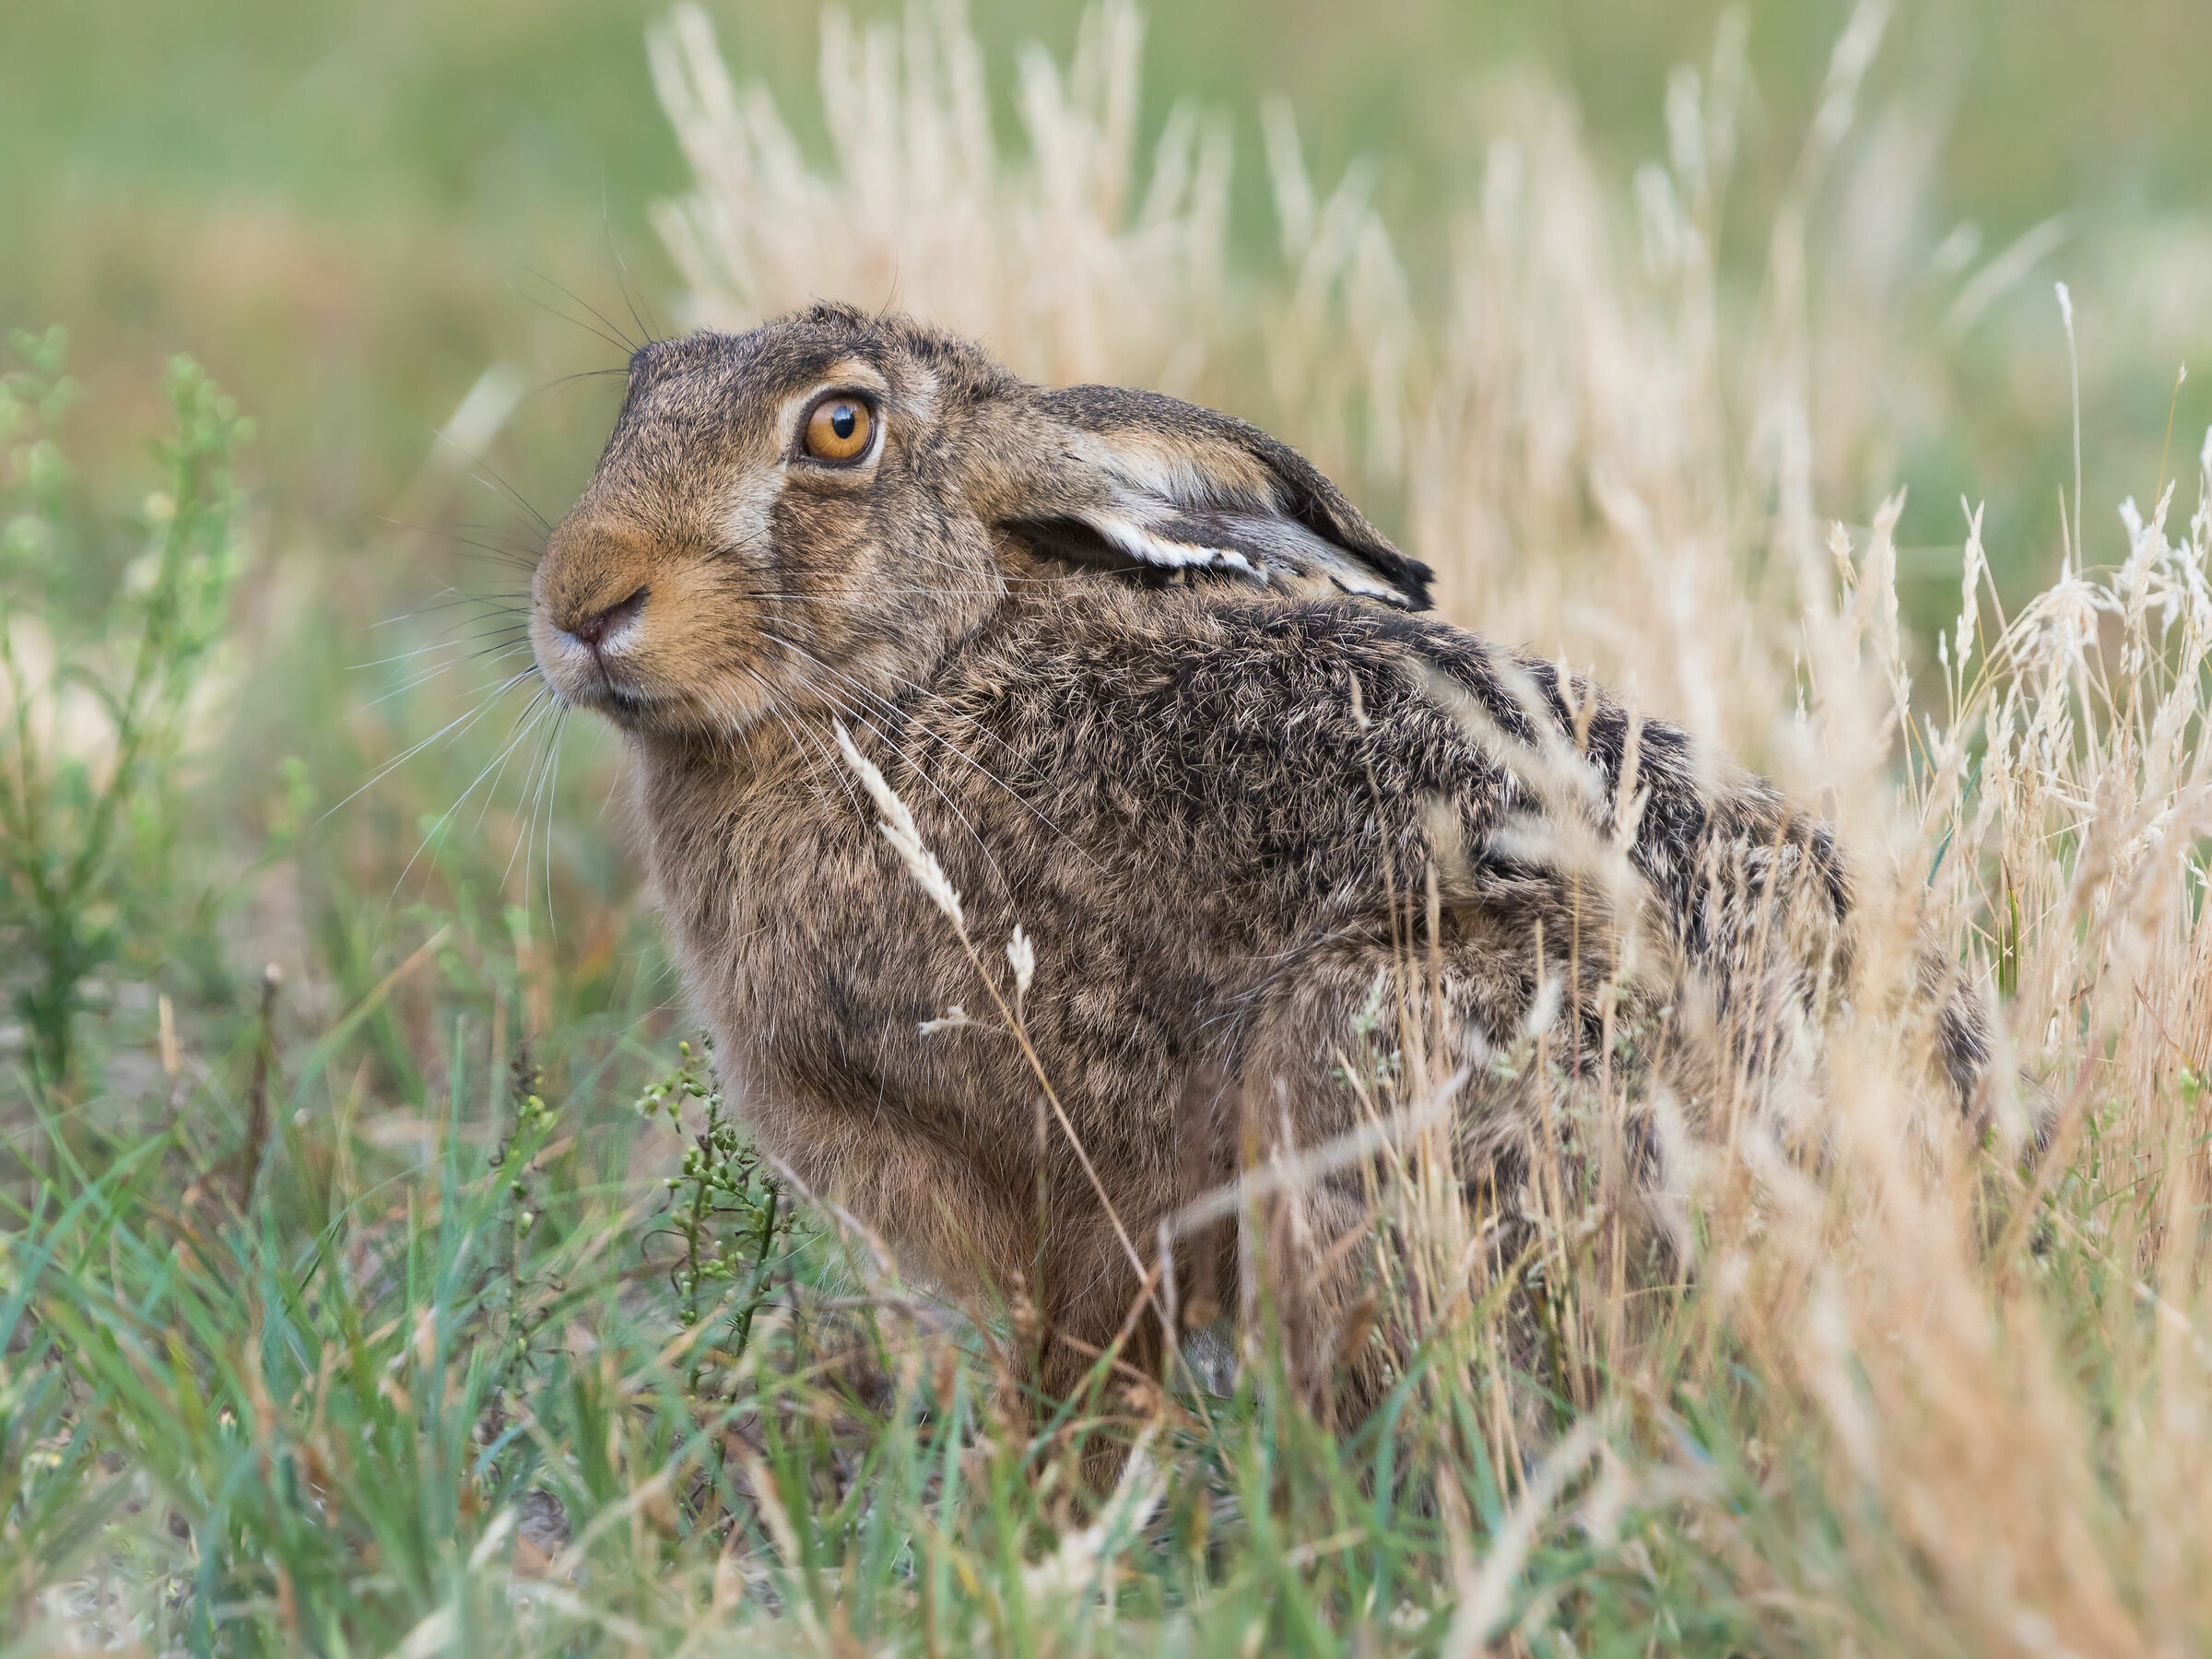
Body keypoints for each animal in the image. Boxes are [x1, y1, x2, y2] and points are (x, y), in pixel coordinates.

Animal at [527, 301, 1989, 1422]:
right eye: (644, 383)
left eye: (839, 428)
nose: (582, 605)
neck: (907, 683)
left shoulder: (1095, 1172)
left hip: (1358, 1047)